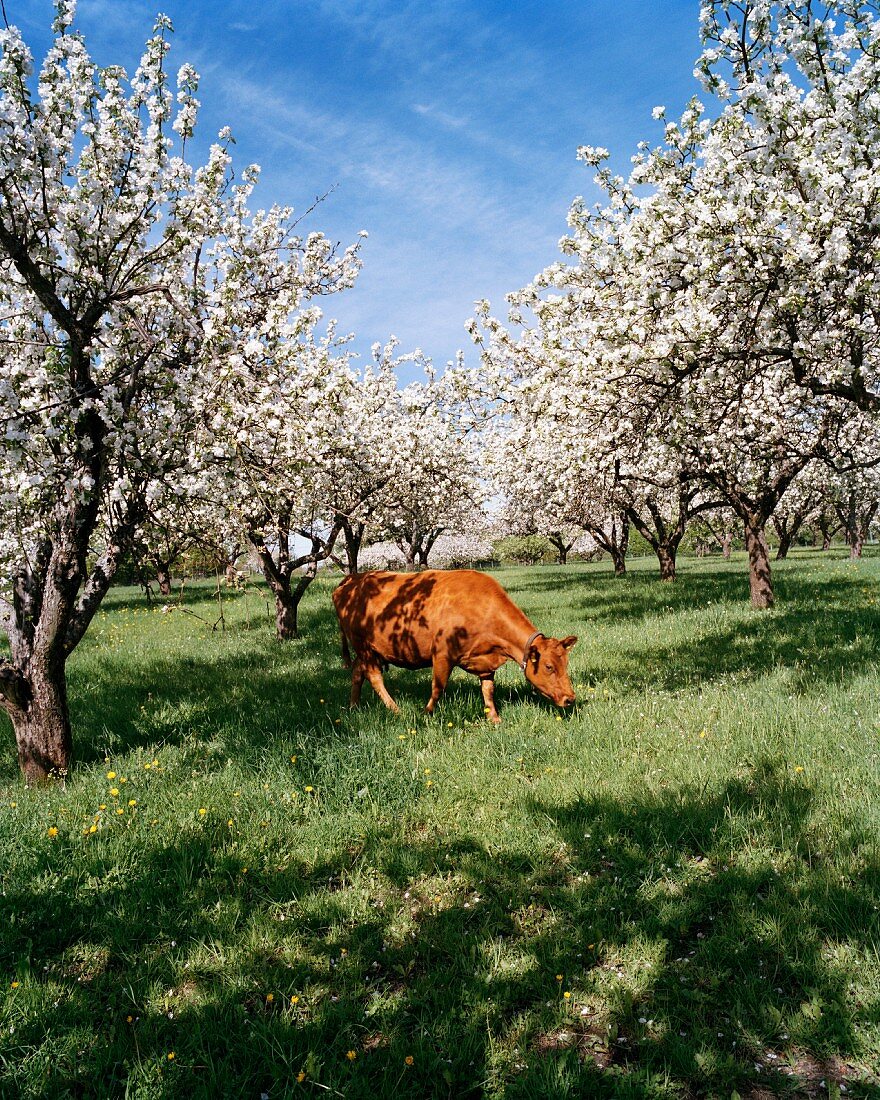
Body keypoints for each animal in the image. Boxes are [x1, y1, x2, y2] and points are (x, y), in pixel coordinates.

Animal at [330, 572, 576, 726]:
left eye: (565, 663)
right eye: (548, 666)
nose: (570, 699)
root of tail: (351, 579)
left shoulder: (486, 661)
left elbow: (488, 690)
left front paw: (494, 718)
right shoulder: (442, 654)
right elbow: (438, 688)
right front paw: (426, 714)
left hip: (366, 650)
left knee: (357, 673)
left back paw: (354, 706)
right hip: (362, 645)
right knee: (374, 676)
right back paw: (395, 709)